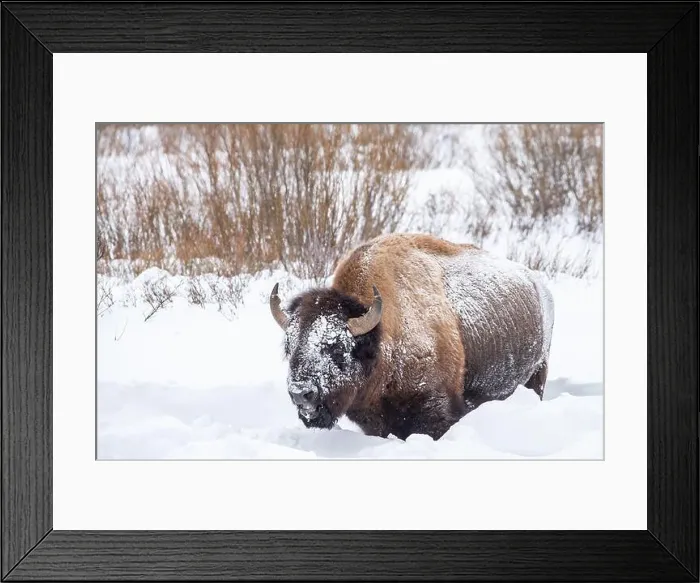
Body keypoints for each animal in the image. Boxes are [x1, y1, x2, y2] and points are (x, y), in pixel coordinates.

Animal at [270, 233, 555, 440]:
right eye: (289, 347)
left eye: (338, 347)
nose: (301, 393)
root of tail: (537, 284)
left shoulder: (435, 411)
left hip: (537, 375)